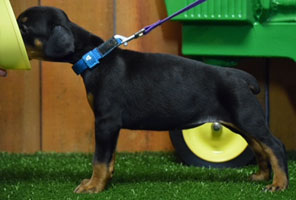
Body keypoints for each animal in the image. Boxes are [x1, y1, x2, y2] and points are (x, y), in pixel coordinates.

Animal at [17, 7, 288, 193]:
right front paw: (104, 182)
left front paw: (93, 186)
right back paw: (262, 176)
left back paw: (279, 184)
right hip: (238, 122)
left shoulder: (105, 121)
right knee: (258, 146)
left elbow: (100, 159)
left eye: (26, 27)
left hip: (246, 117)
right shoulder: (111, 126)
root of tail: (241, 76)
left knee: (274, 145)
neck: (94, 58)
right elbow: (110, 158)